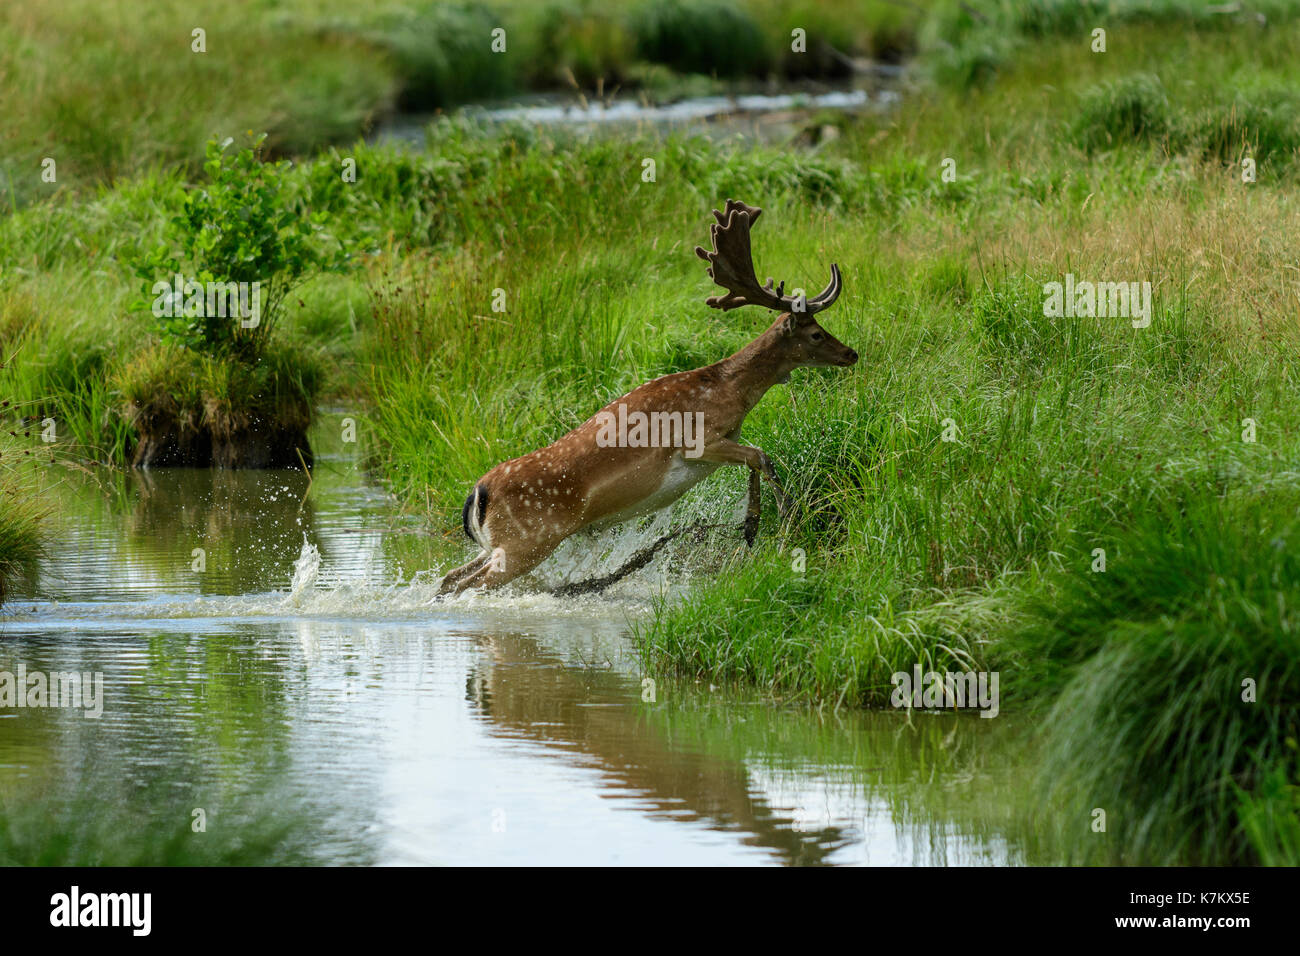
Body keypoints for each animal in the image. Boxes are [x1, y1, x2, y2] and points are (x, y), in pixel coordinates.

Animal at [437, 199, 857, 595]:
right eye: (816, 333)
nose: (851, 353)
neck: (727, 392)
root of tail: (478, 494)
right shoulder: (697, 441)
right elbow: (761, 456)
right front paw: (777, 520)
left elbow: (755, 459)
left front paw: (756, 525)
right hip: (528, 542)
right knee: (468, 585)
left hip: (497, 546)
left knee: (448, 578)